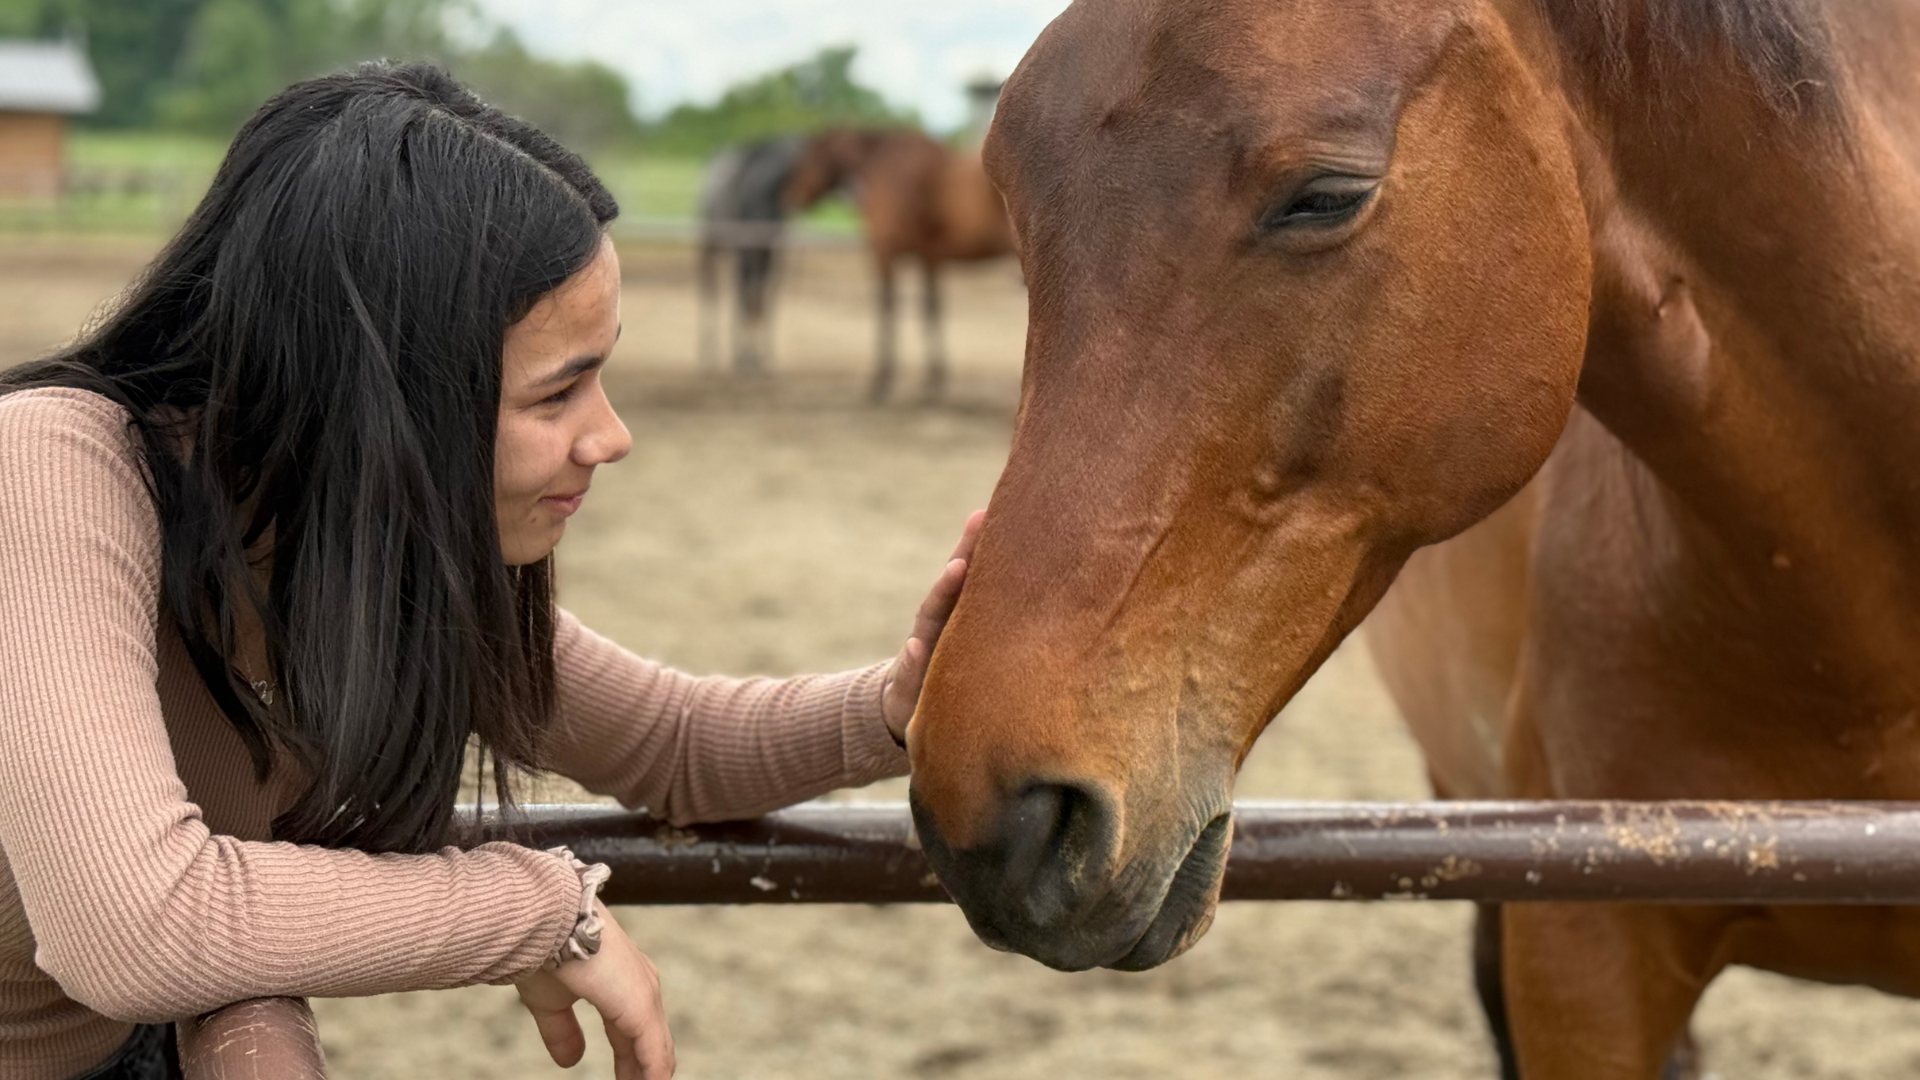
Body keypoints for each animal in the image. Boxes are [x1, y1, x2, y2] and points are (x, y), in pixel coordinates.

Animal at [696, 135, 807, 376]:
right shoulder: (748, 253)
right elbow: (749, 299)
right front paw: (744, 358)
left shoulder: (770, 256)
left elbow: (761, 301)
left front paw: (760, 356)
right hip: (710, 247)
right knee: (711, 291)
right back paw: (708, 351)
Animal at [782, 128, 1016, 401]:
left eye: (806, 161)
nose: (790, 197)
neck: (882, 165)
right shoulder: (928, 258)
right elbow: (931, 309)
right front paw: (934, 379)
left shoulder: (884, 252)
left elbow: (887, 307)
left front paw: (882, 380)